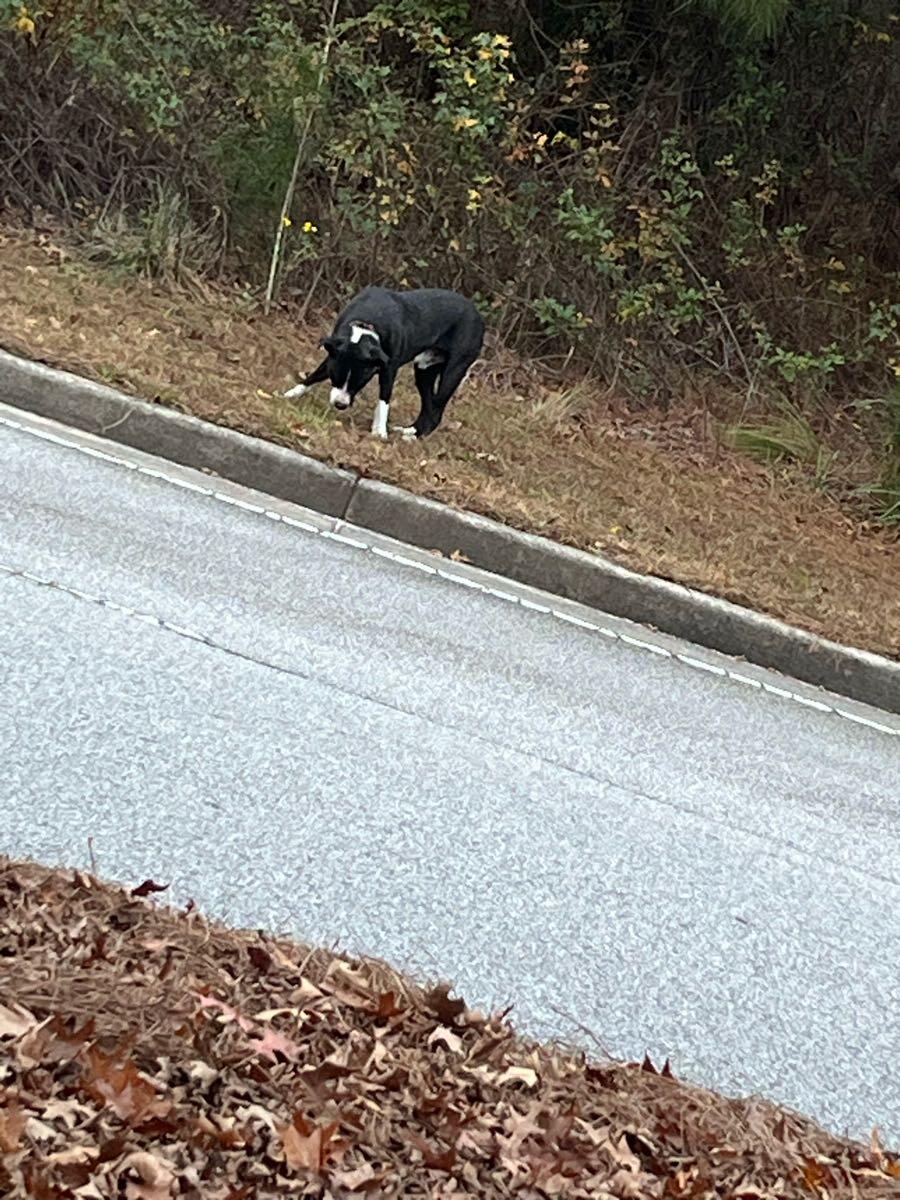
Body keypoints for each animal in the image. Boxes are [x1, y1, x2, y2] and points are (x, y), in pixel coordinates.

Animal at [289, 285, 487, 441]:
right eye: (335, 376)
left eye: (360, 382)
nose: (340, 405)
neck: (366, 325)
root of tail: (478, 316)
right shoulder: (334, 354)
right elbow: (315, 375)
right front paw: (291, 394)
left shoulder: (389, 369)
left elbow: (384, 400)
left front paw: (379, 432)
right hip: (425, 369)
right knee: (428, 406)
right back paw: (410, 431)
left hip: (454, 370)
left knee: (436, 410)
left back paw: (413, 437)